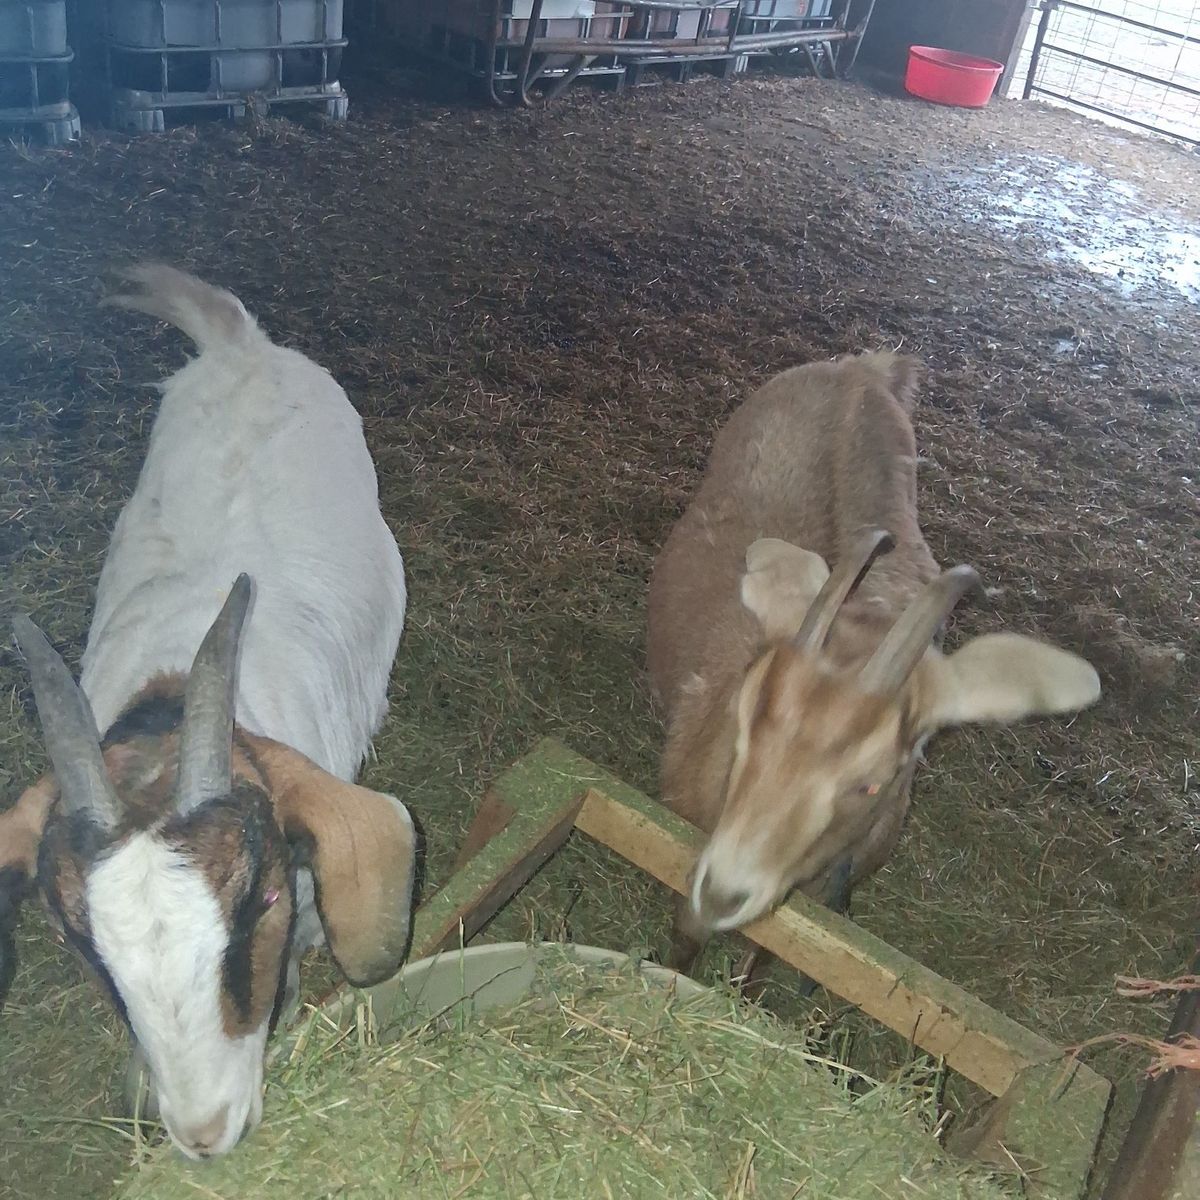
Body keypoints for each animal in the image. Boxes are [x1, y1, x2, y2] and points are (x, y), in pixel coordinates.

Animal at [646, 351, 1100, 976]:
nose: (722, 893)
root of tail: (864, 368)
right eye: (746, 711)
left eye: (872, 782)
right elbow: (686, 940)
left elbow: (769, 964)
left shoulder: (822, 902)